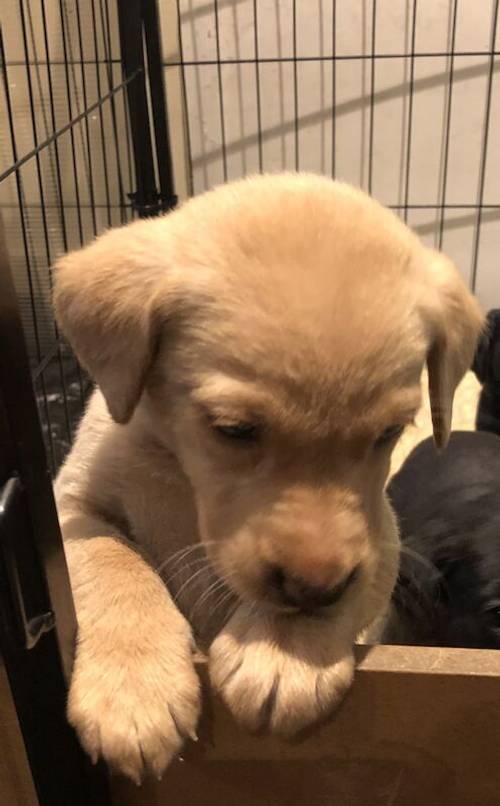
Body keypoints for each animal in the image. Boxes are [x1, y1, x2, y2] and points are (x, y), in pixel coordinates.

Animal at [52, 175, 482, 784]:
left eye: (390, 433)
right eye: (234, 430)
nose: (315, 588)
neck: (181, 473)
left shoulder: (383, 540)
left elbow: (357, 582)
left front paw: (284, 651)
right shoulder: (69, 504)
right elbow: (113, 562)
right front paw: (133, 691)